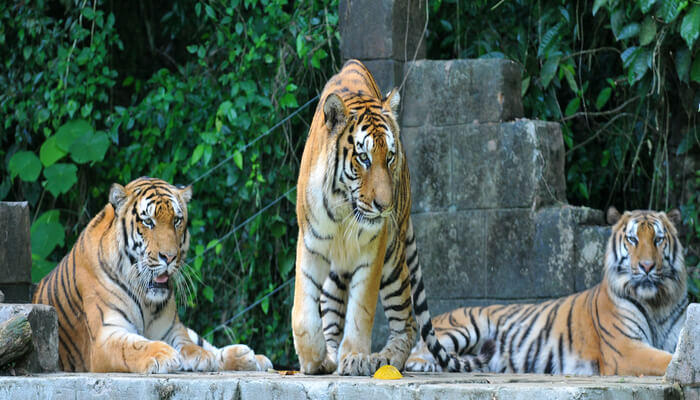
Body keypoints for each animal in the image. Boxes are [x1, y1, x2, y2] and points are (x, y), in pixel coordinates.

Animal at [33, 177, 272, 373]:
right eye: (148, 222)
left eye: (176, 220)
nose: (169, 257)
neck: (147, 301)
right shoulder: (105, 335)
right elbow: (132, 346)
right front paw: (162, 354)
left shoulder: (172, 328)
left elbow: (187, 343)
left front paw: (199, 356)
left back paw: (251, 357)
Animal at [292, 59, 493, 376]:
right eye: (363, 158)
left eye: (389, 157)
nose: (384, 206)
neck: (344, 209)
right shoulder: (311, 242)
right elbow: (304, 310)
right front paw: (313, 359)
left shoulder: (373, 249)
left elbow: (361, 310)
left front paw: (356, 357)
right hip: (338, 271)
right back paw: (331, 357)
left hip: (394, 260)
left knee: (407, 324)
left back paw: (383, 360)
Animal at [406, 207, 688, 376]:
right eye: (632, 239)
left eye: (658, 240)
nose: (647, 266)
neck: (657, 302)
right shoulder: (627, 348)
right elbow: (664, 359)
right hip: (465, 328)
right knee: (422, 348)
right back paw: (420, 364)